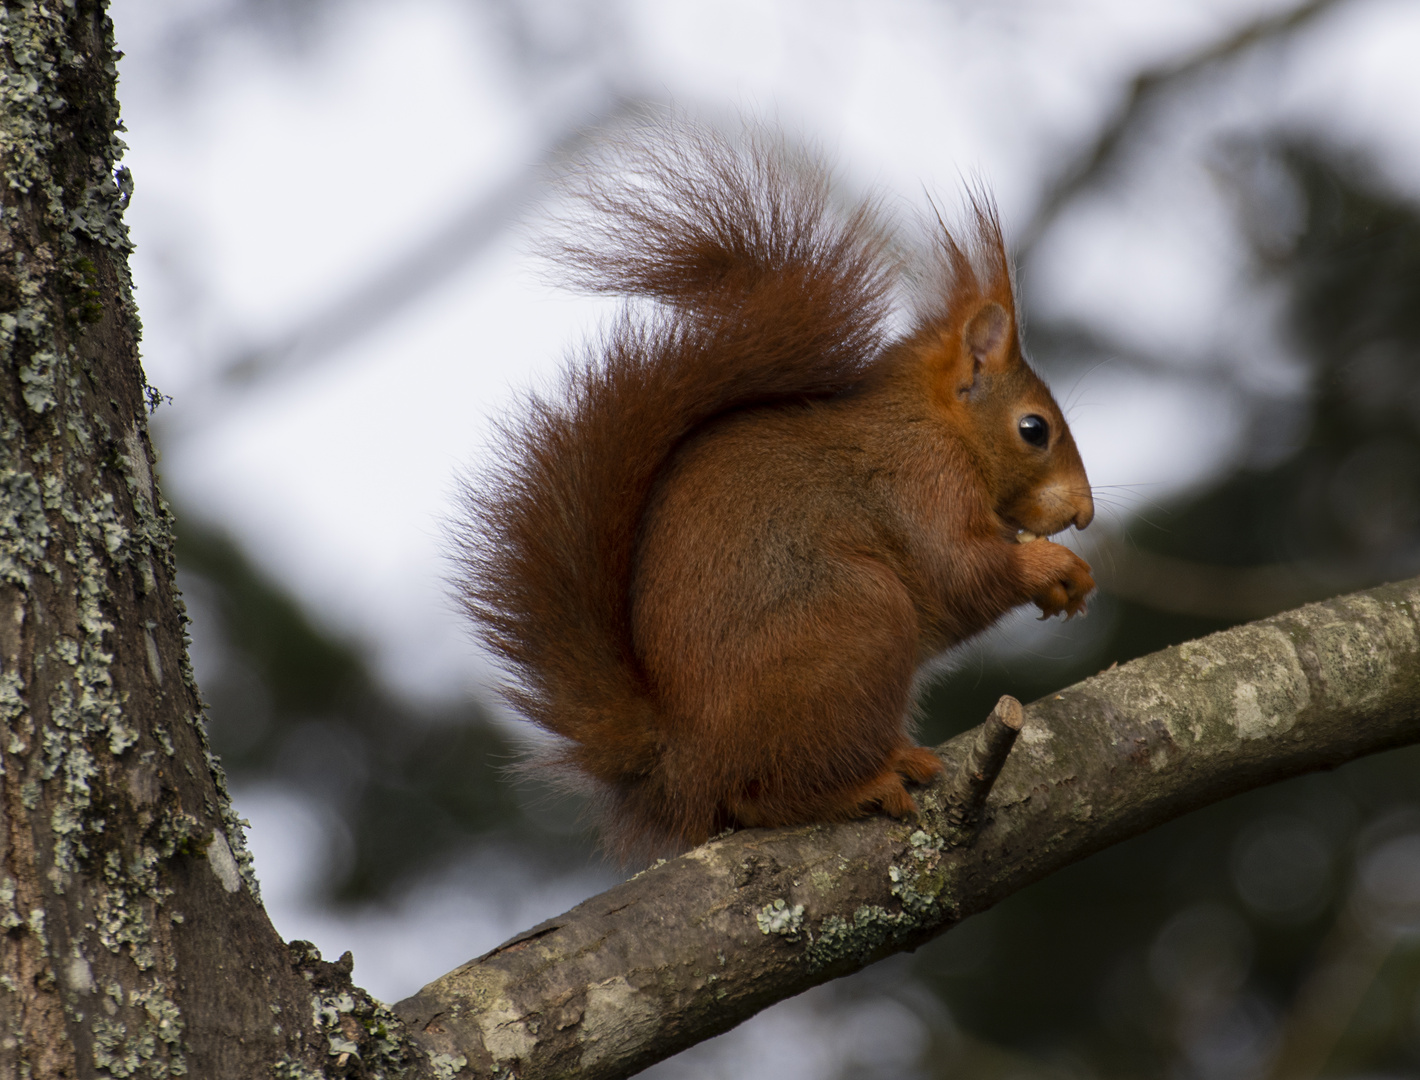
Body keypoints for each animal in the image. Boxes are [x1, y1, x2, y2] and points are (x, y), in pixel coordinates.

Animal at [457, 119, 1096, 857]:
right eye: (1034, 429)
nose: (1084, 513)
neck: (935, 422)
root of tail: (687, 765)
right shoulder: (922, 480)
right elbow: (961, 570)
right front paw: (1052, 567)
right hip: (859, 617)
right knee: (761, 794)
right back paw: (861, 783)